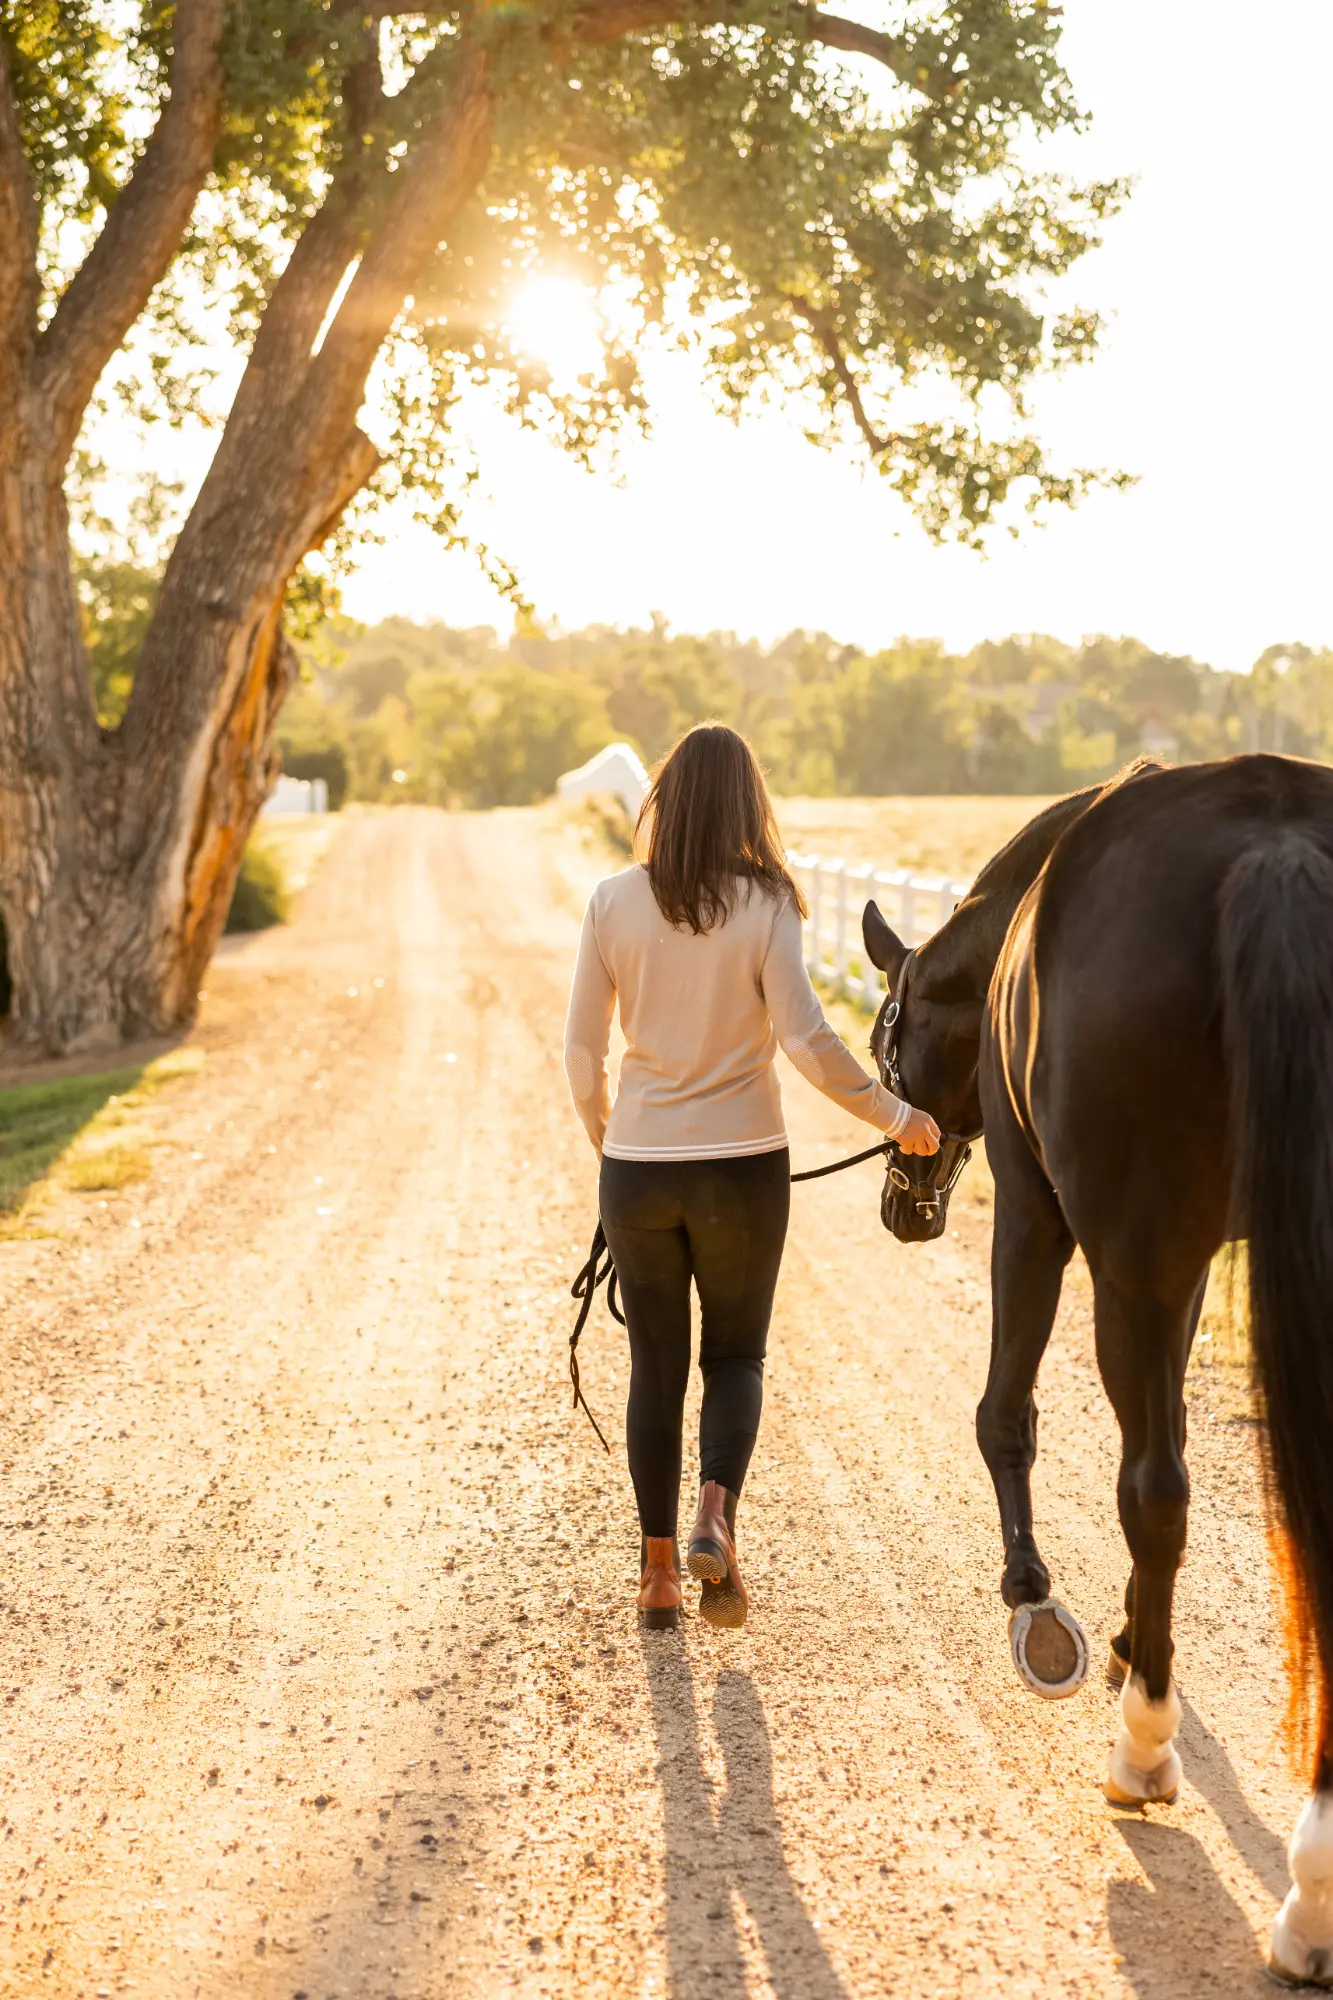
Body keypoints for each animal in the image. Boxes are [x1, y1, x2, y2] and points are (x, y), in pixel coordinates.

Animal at [860, 753, 1333, 1987]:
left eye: (886, 1042)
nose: (902, 1203)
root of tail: (1275, 848)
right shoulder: (1179, 1268)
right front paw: (1124, 1635)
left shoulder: (1049, 1222)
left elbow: (1007, 1415)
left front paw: (1042, 1609)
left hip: (1126, 1255)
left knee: (1154, 1492)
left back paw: (1149, 1757)